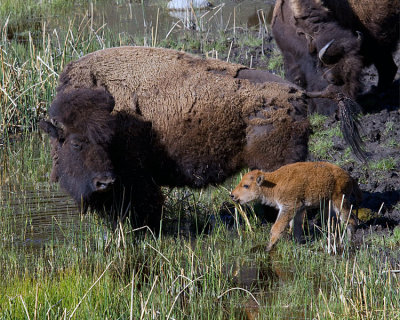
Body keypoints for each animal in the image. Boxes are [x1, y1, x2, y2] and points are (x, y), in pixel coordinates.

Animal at [39, 46, 362, 229]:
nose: (104, 182)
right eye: (76, 142)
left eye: (107, 141)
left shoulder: (139, 178)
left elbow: (148, 206)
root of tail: (298, 92)